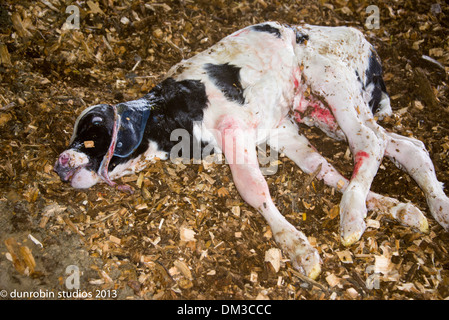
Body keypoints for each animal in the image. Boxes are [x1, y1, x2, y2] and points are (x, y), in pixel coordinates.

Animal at [54, 22, 446, 278]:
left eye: (90, 135)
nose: (58, 164)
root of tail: (362, 40)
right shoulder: (280, 127)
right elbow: (321, 168)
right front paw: (392, 207)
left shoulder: (236, 132)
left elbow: (253, 188)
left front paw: (298, 248)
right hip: (320, 112)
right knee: (406, 145)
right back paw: (424, 209)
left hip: (333, 81)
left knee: (368, 141)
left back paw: (351, 216)